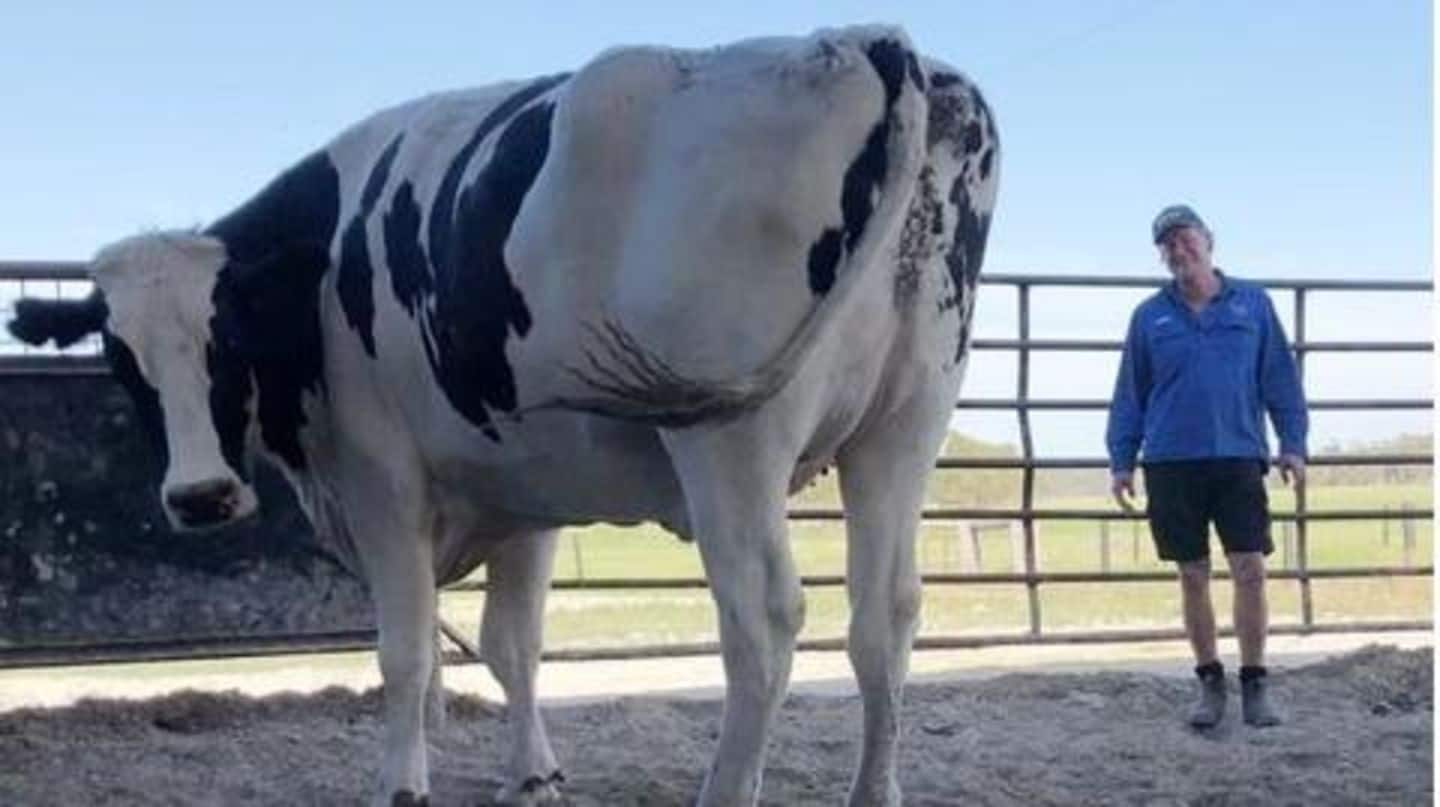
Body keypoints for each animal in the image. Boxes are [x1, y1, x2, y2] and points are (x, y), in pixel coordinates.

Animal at [9, 25, 998, 807]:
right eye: (122, 358)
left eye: (229, 338)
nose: (202, 496)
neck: (326, 258)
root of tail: (864, 40)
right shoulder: (525, 489)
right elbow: (511, 644)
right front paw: (532, 771)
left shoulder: (382, 479)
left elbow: (407, 650)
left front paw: (402, 781)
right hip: (904, 426)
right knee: (885, 614)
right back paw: (874, 789)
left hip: (731, 445)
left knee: (763, 622)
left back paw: (725, 787)